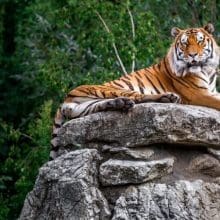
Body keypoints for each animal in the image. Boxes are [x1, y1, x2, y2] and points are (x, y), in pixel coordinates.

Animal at [50, 23, 220, 159]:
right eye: (184, 43)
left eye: (200, 40)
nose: (192, 55)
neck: (207, 70)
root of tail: (67, 97)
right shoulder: (197, 94)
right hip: (111, 90)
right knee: (140, 97)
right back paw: (167, 98)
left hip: (86, 107)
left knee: (104, 105)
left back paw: (122, 104)